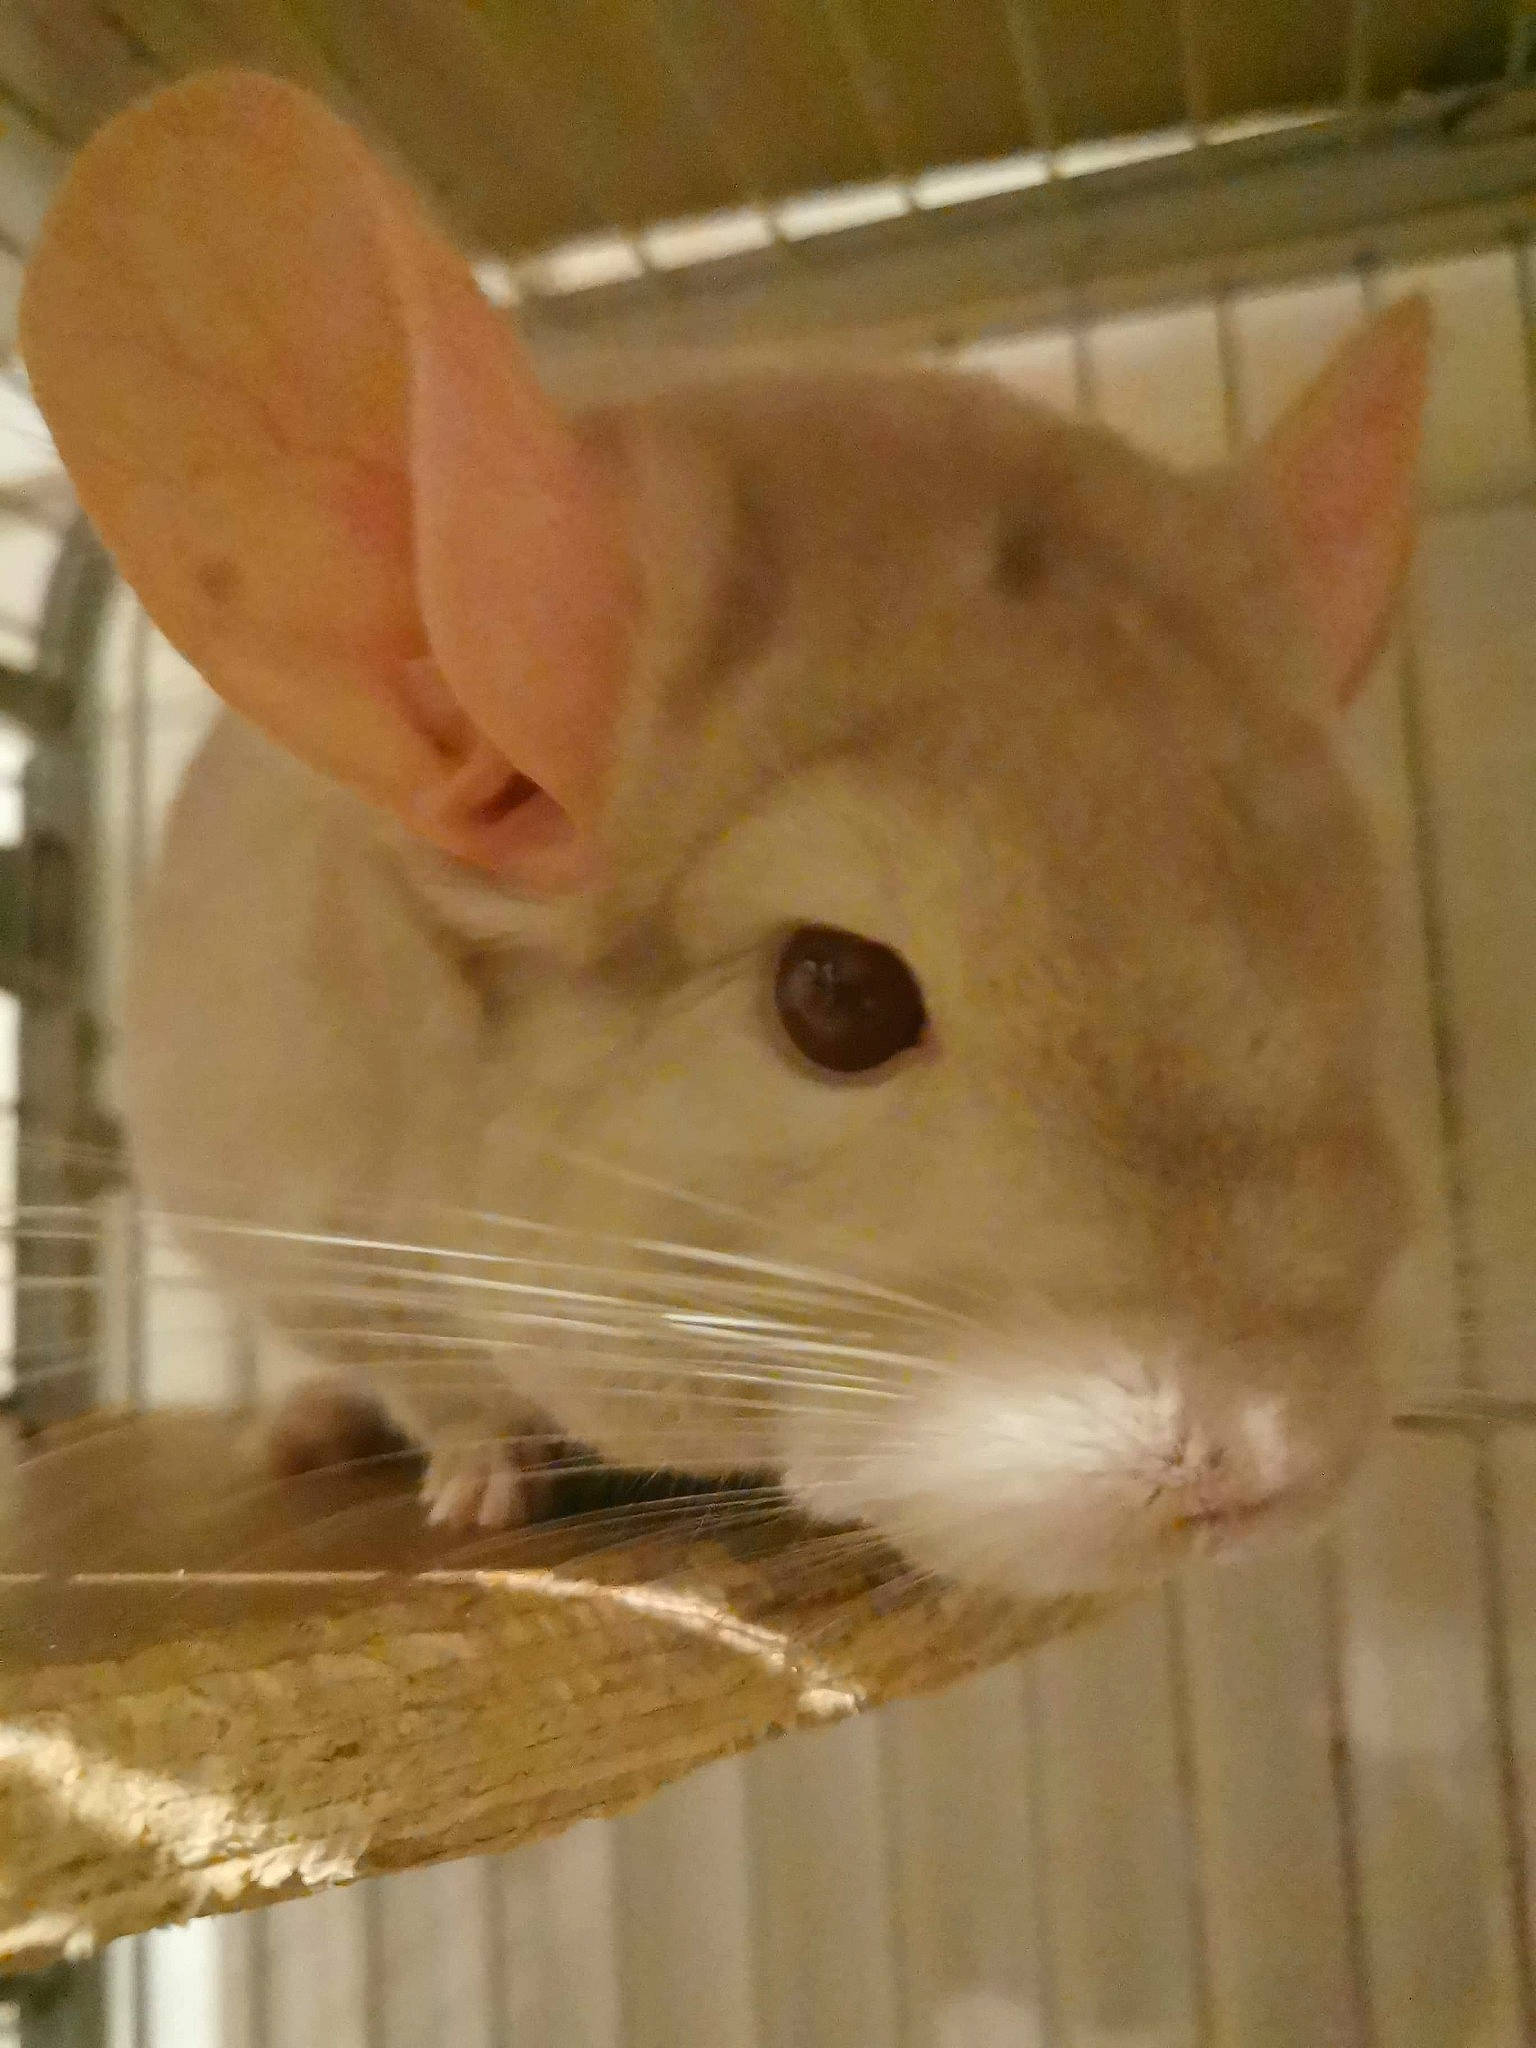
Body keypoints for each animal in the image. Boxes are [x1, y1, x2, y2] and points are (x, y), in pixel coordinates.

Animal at [19, 72, 1429, 1599]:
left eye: (1354, 947)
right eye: (837, 995)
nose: (1265, 1470)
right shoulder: (314, 1229)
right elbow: (438, 1389)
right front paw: (480, 1486)